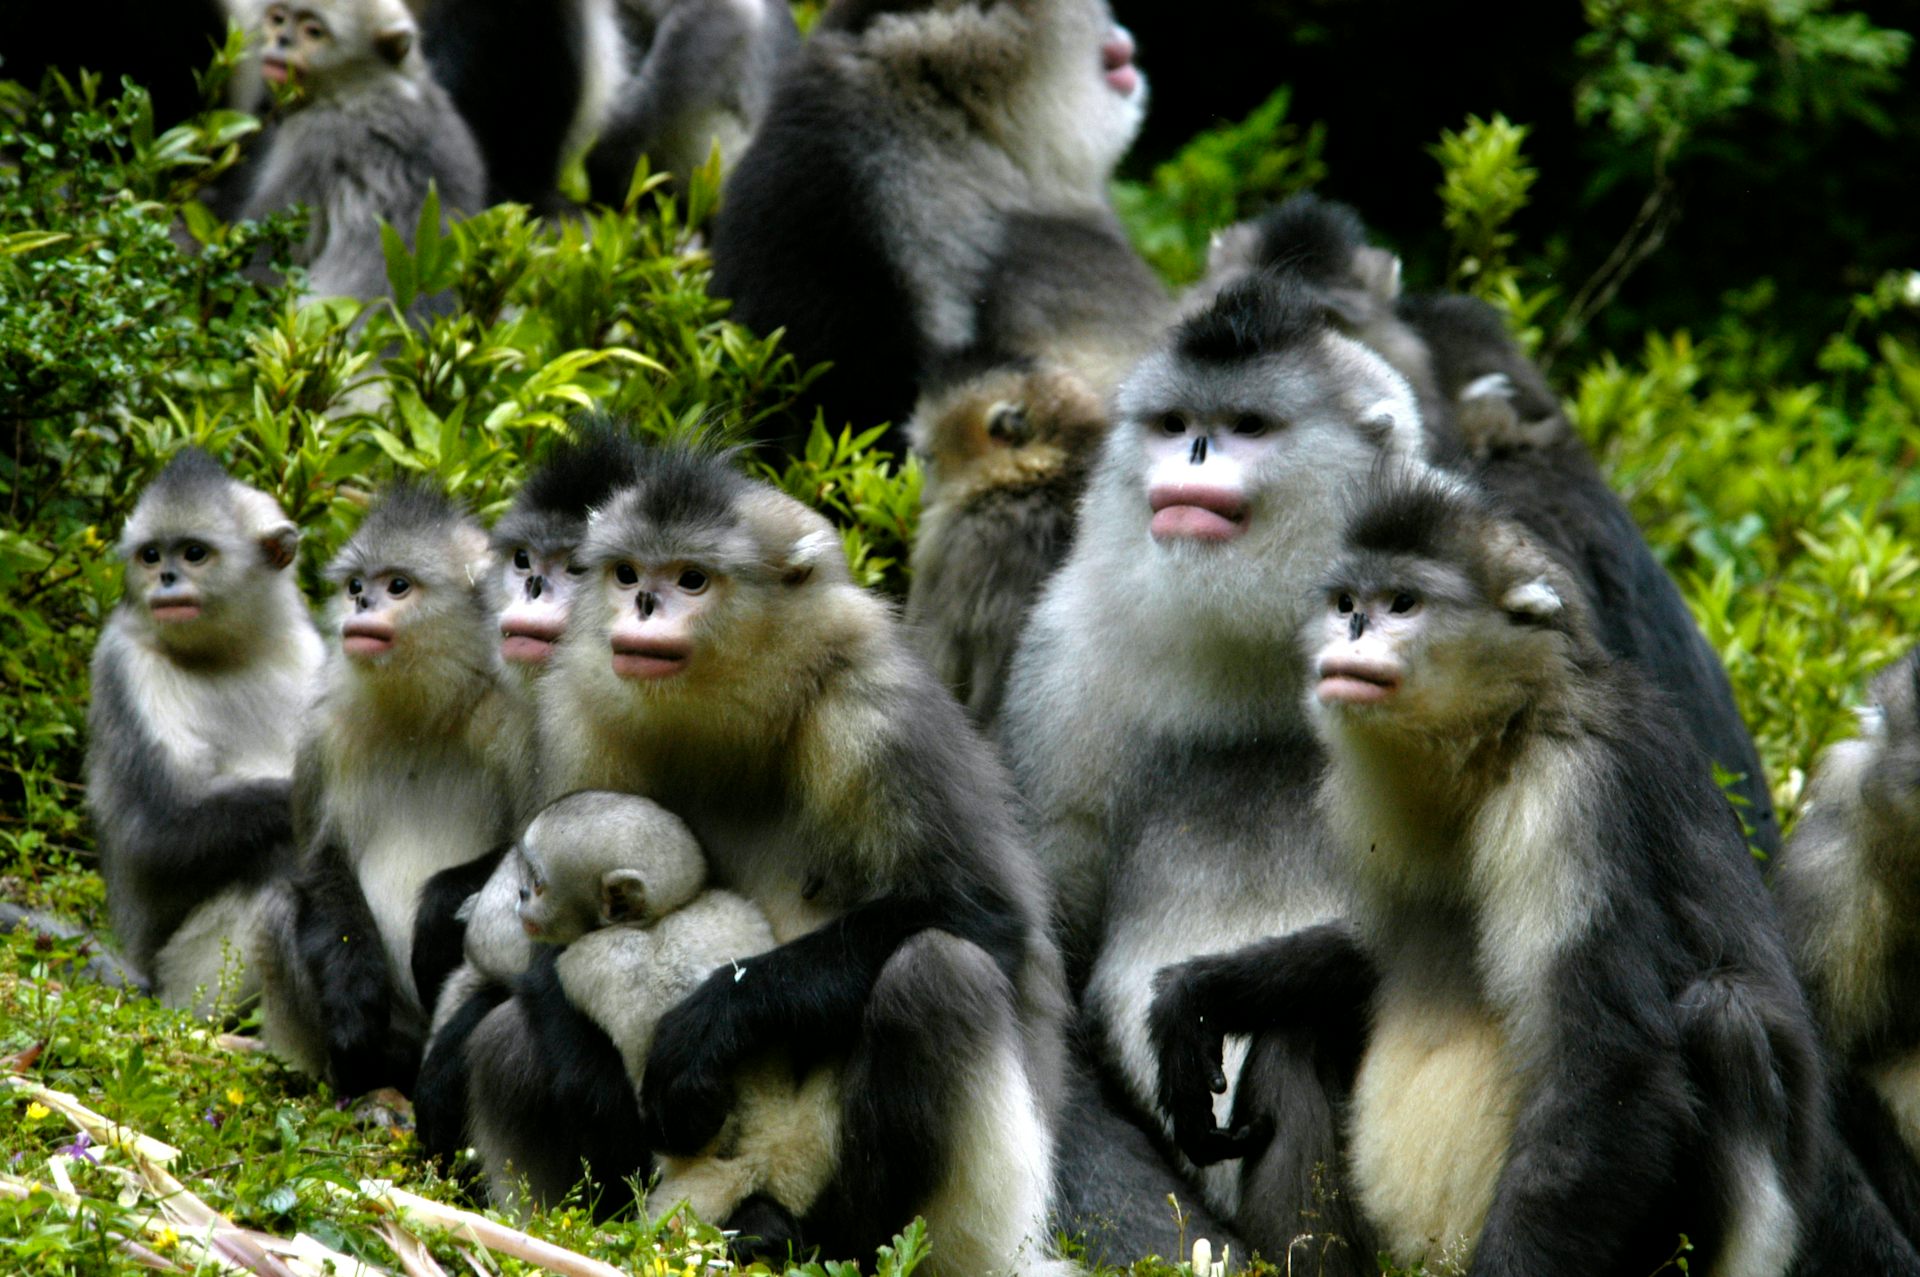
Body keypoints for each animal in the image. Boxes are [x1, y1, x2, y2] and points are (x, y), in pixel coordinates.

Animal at [84, 449, 324, 1015]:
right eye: (151, 556)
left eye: (194, 554)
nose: (166, 578)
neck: (229, 655)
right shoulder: (126, 664)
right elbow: (160, 827)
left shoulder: (308, 652)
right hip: (175, 970)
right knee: (275, 857)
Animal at [236, 0, 486, 302]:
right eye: (278, 19)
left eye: (313, 32)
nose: (282, 40)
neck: (368, 93)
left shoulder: (318, 140)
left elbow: (257, 272)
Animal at [252, 482, 536, 1096]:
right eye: (357, 586)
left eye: (397, 586)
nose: (362, 607)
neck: (426, 712)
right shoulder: (324, 730)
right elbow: (320, 861)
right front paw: (352, 993)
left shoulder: (516, 721)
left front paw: (436, 910)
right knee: (281, 904)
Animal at [466, 444, 1072, 1275]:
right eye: (626, 573)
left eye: (691, 579)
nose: (641, 606)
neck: (733, 722)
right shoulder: (582, 713)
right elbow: (545, 957)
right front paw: (607, 1099)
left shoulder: (878, 708)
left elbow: (982, 913)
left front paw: (711, 1024)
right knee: (504, 1039)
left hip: (982, 1224)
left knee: (937, 973)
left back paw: (815, 1240)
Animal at [1150, 469, 1920, 1276]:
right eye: (1345, 603)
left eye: (1402, 604)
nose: (1352, 632)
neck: (1503, 735)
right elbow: (1367, 954)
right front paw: (1203, 994)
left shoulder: (1574, 792)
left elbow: (1611, 1063)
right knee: (1290, 1031)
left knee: (1723, 1016)